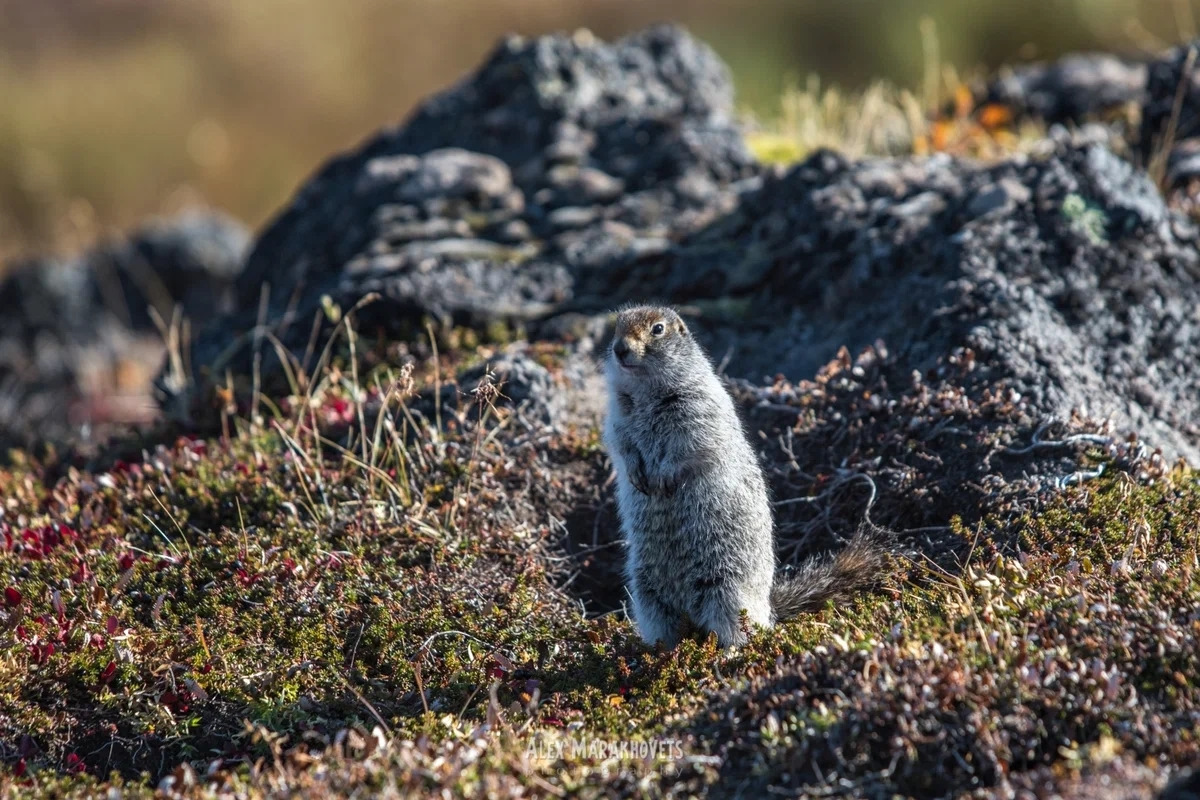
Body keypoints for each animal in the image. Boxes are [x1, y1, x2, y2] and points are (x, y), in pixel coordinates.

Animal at [604, 303, 888, 647]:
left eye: (658, 329)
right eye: (616, 327)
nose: (619, 349)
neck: (645, 390)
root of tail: (767, 607)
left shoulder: (697, 408)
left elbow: (690, 444)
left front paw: (663, 478)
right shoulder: (617, 415)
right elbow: (621, 443)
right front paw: (636, 473)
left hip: (727, 587)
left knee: (736, 630)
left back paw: (725, 652)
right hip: (647, 593)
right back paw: (659, 651)